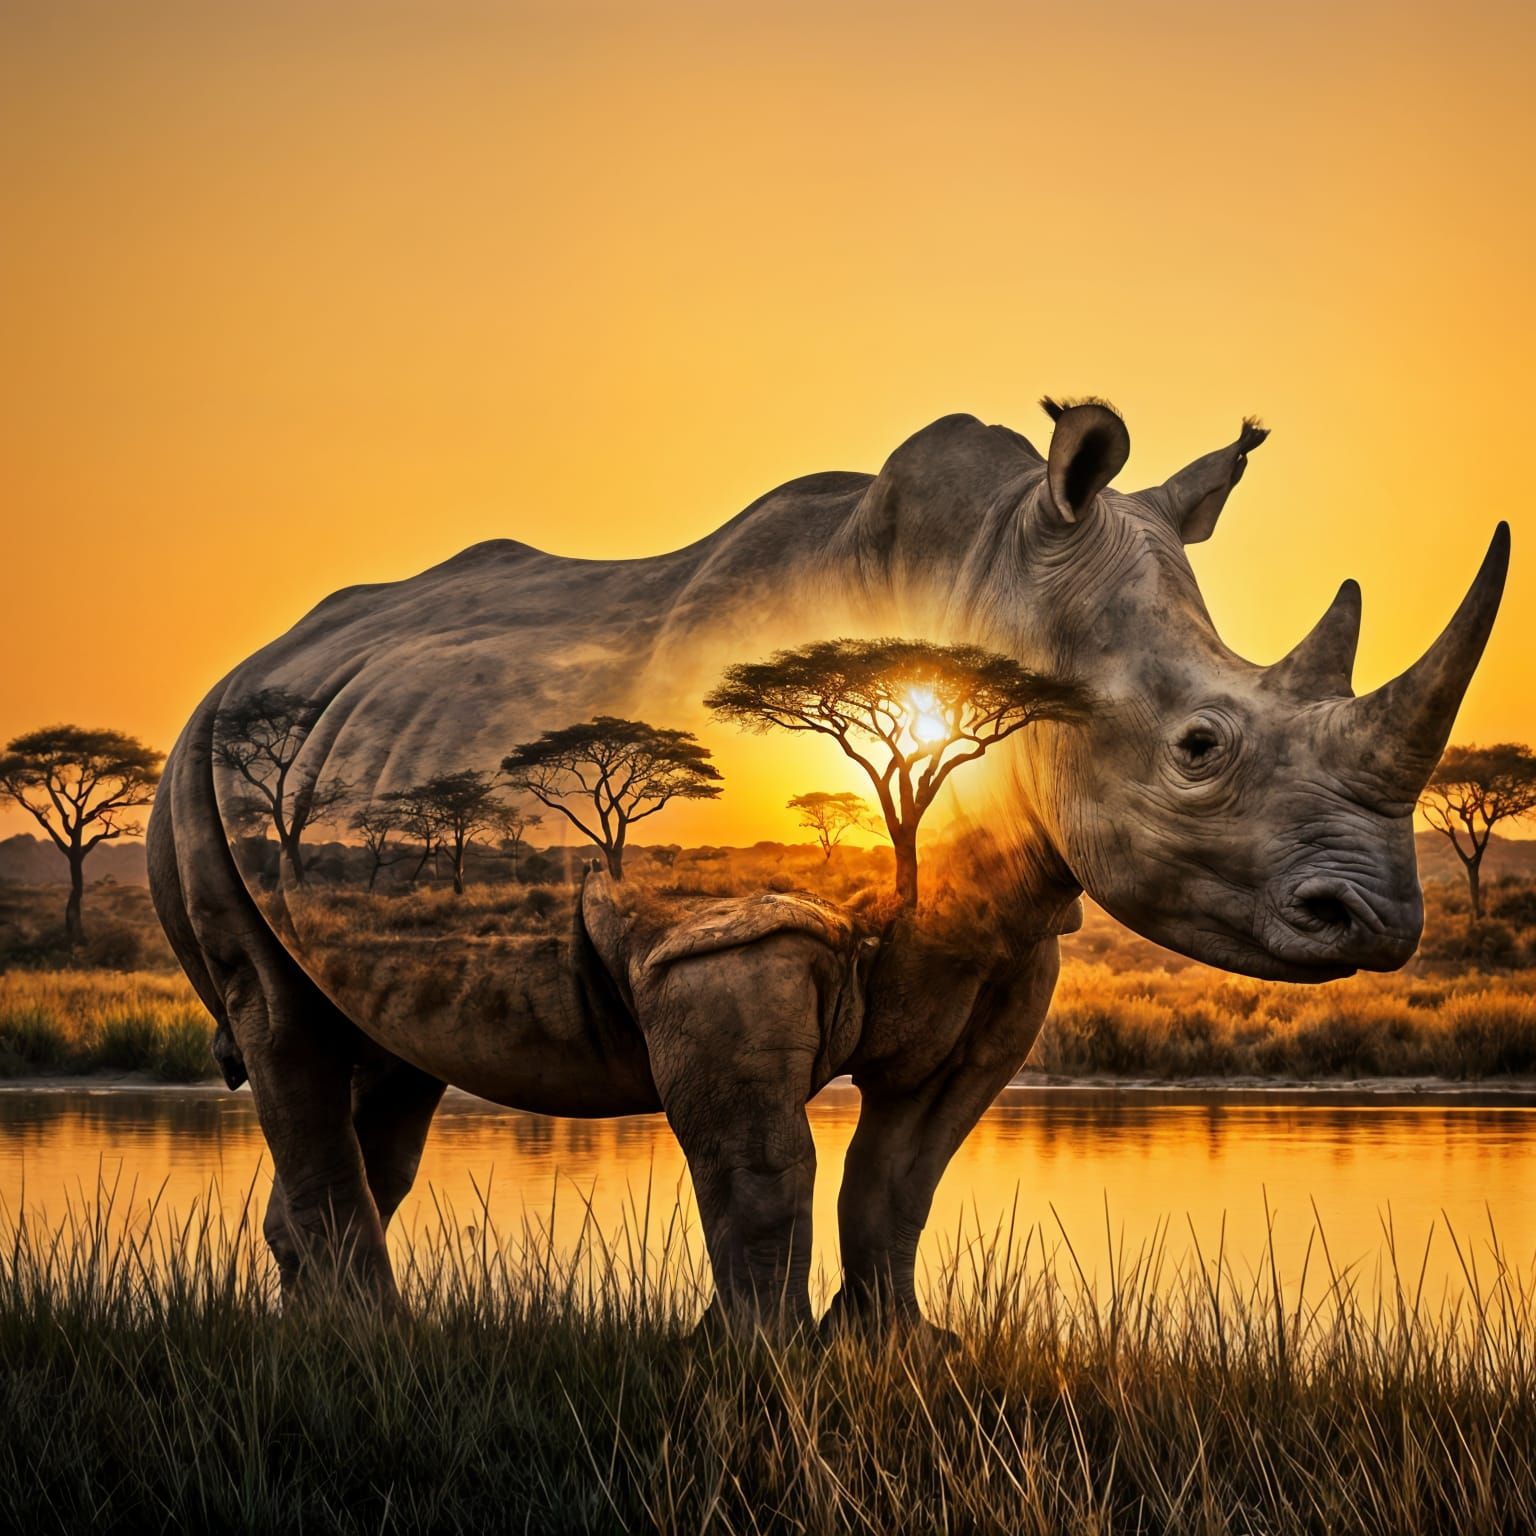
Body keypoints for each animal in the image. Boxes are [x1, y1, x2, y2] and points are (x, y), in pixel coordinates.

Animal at [149, 399, 1508, 1330]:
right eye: (1200, 746)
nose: (1378, 921)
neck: (984, 585)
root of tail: (255, 659)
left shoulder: (1006, 946)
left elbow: (900, 1175)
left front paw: (896, 1348)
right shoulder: (723, 930)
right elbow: (763, 1166)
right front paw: (758, 1360)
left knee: (384, 1061)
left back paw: (333, 1330)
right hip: (196, 772)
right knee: (286, 1029)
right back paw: (367, 1338)